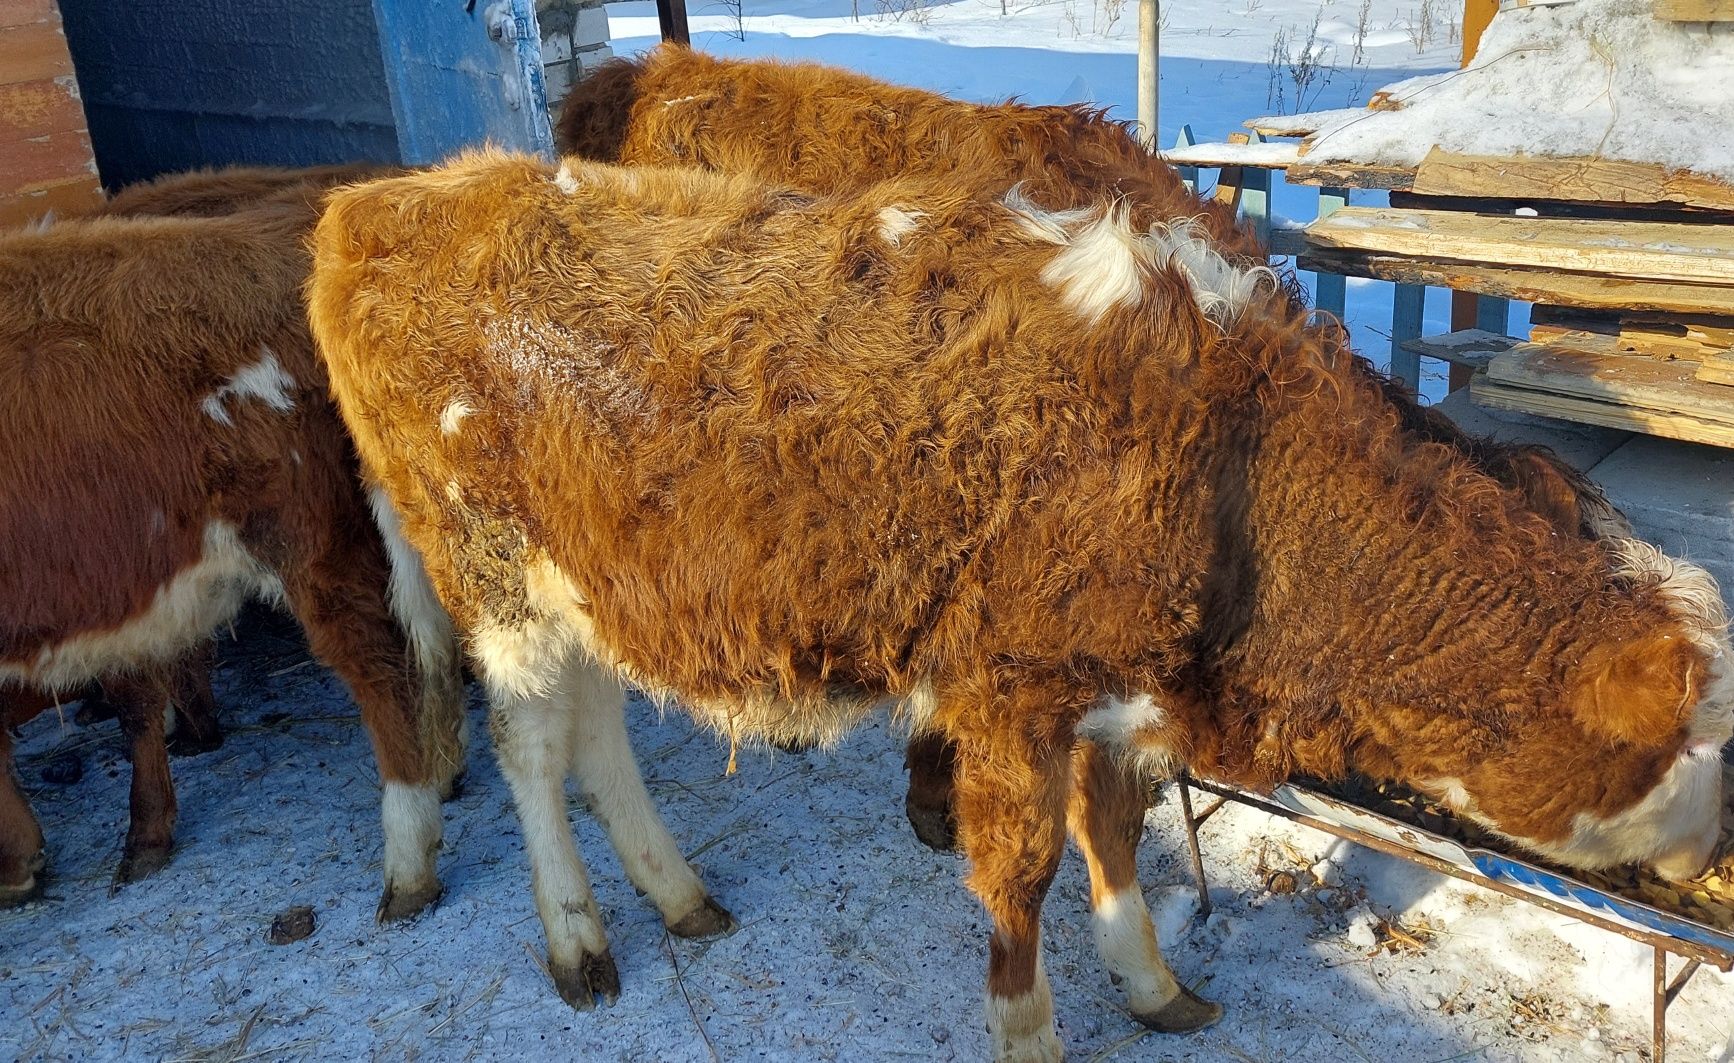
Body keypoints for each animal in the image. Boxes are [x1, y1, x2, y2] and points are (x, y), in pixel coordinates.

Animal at [305, 151, 1727, 1061]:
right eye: (1687, 736)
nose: (1709, 853)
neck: (1234, 452)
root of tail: (392, 193)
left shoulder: (1106, 690)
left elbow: (1115, 838)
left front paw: (1152, 983)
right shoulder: (1008, 689)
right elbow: (1023, 873)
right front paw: (1030, 1027)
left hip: (590, 582)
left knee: (597, 730)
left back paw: (679, 894)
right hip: (489, 573)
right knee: (530, 746)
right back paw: (579, 940)